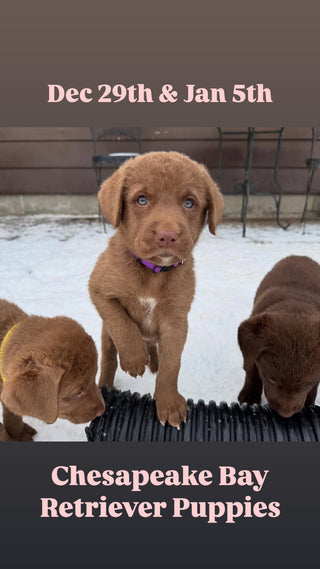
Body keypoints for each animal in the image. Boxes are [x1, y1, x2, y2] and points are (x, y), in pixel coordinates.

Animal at [87, 151, 222, 426]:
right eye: (141, 200)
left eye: (189, 203)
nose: (167, 235)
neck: (153, 272)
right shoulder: (98, 288)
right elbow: (122, 322)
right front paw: (134, 359)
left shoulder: (176, 320)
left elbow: (172, 364)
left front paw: (169, 403)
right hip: (106, 335)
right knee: (109, 357)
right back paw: (108, 384)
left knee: (153, 347)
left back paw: (153, 361)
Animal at [239, 256, 320, 418]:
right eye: (270, 379)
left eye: (308, 383)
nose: (285, 414)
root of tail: (300, 256)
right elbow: (251, 369)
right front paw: (249, 399)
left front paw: (309, 405)